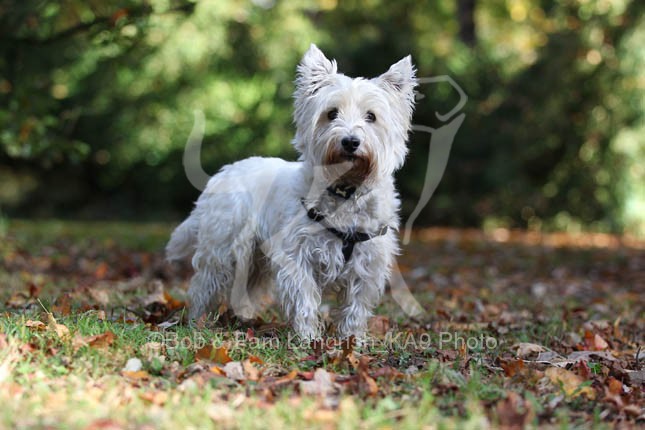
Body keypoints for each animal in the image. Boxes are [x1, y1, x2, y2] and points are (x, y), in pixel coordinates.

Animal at [167, 44, 417, 339]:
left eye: (371, 117)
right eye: (331, 113)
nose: (350, 142)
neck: (345, 191)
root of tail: (222, 173)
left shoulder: (367, 264)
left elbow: (355, 306)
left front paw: (351, 339)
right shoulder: (296, 255)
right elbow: (304, 298)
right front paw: (309, 337)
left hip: (254, 259)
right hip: (224, 248)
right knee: (204, 285)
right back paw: (197, 321)